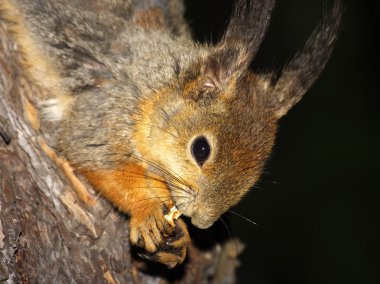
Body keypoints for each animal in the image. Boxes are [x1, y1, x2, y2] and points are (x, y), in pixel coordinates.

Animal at [0, 0, 342, 268]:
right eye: (201, 149)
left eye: (256, 174)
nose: (202, 221)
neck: (156, 85)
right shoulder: (102, 113)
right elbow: (96, 158)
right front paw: (149, 211)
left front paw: (178, 241)